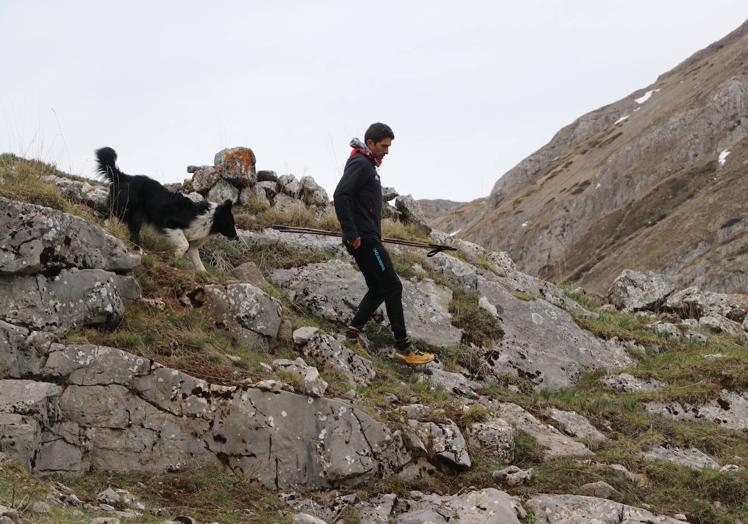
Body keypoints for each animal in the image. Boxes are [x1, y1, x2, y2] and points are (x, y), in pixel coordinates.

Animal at [95, 145, 237, 272]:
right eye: (231, 222)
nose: (236, 237)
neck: (210, 218)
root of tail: (123, 176)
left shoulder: (193, 245)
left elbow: (197, 260)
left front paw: (203, 273)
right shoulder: (170, 224)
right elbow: (184, 244)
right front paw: (176, 256)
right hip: (133, 212)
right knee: (128, 228)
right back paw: (138, 249)